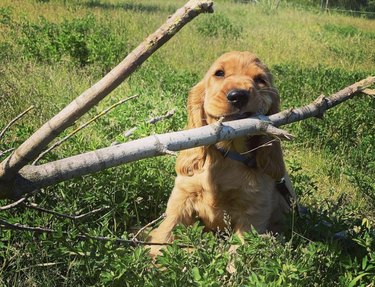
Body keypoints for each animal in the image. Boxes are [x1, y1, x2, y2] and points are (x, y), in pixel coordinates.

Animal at [148, 51, 296, 256]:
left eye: (260, 80)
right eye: (219, 73)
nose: (238, 96)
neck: (228, 154)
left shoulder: (253, 212)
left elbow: (238, 253)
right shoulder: (182, 197)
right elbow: (166, 230)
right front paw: (151, 260)